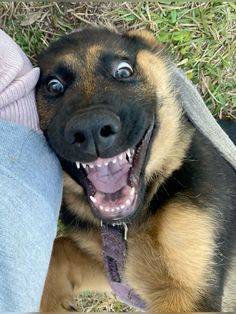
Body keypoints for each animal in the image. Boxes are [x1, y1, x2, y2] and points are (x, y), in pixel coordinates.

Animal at [36, 27, 235, 312]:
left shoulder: (187, 293)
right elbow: (57, 249)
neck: (135, 220)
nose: (91, 129)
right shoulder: (120, 274)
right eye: (54, 86)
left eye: (124, 72)